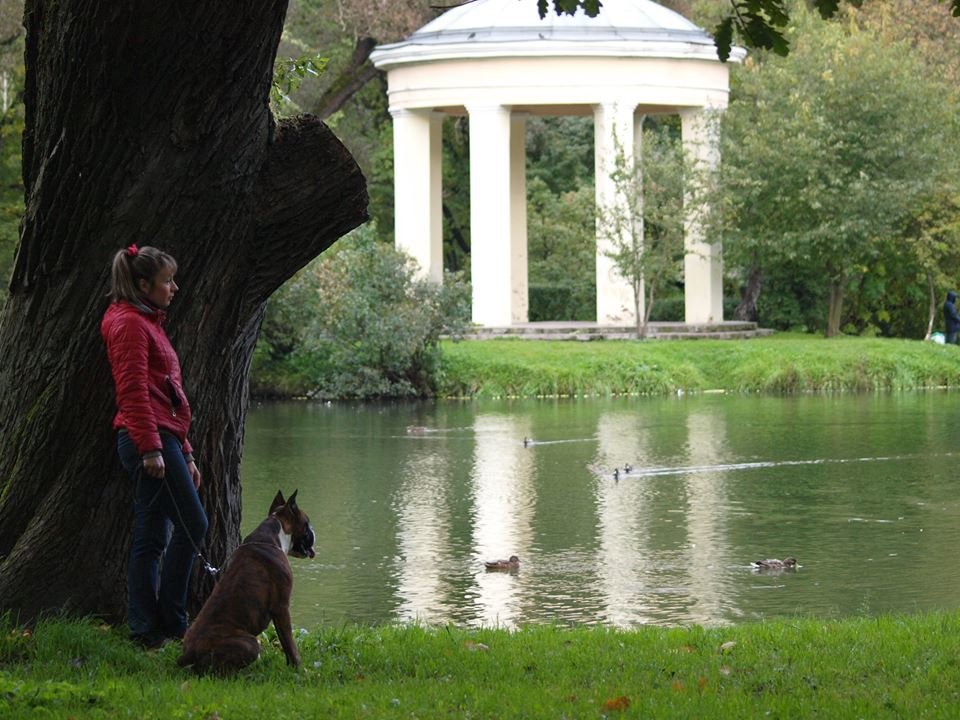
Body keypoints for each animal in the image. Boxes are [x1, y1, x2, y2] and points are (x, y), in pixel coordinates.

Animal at [176, 490, 316, 676]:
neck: (274, 535)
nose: (313, 531)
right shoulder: (281, 607)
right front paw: (299, 669)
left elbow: (284, 643)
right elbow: (290, 644)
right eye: (307, 524)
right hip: (250, 643)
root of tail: (189, 654)